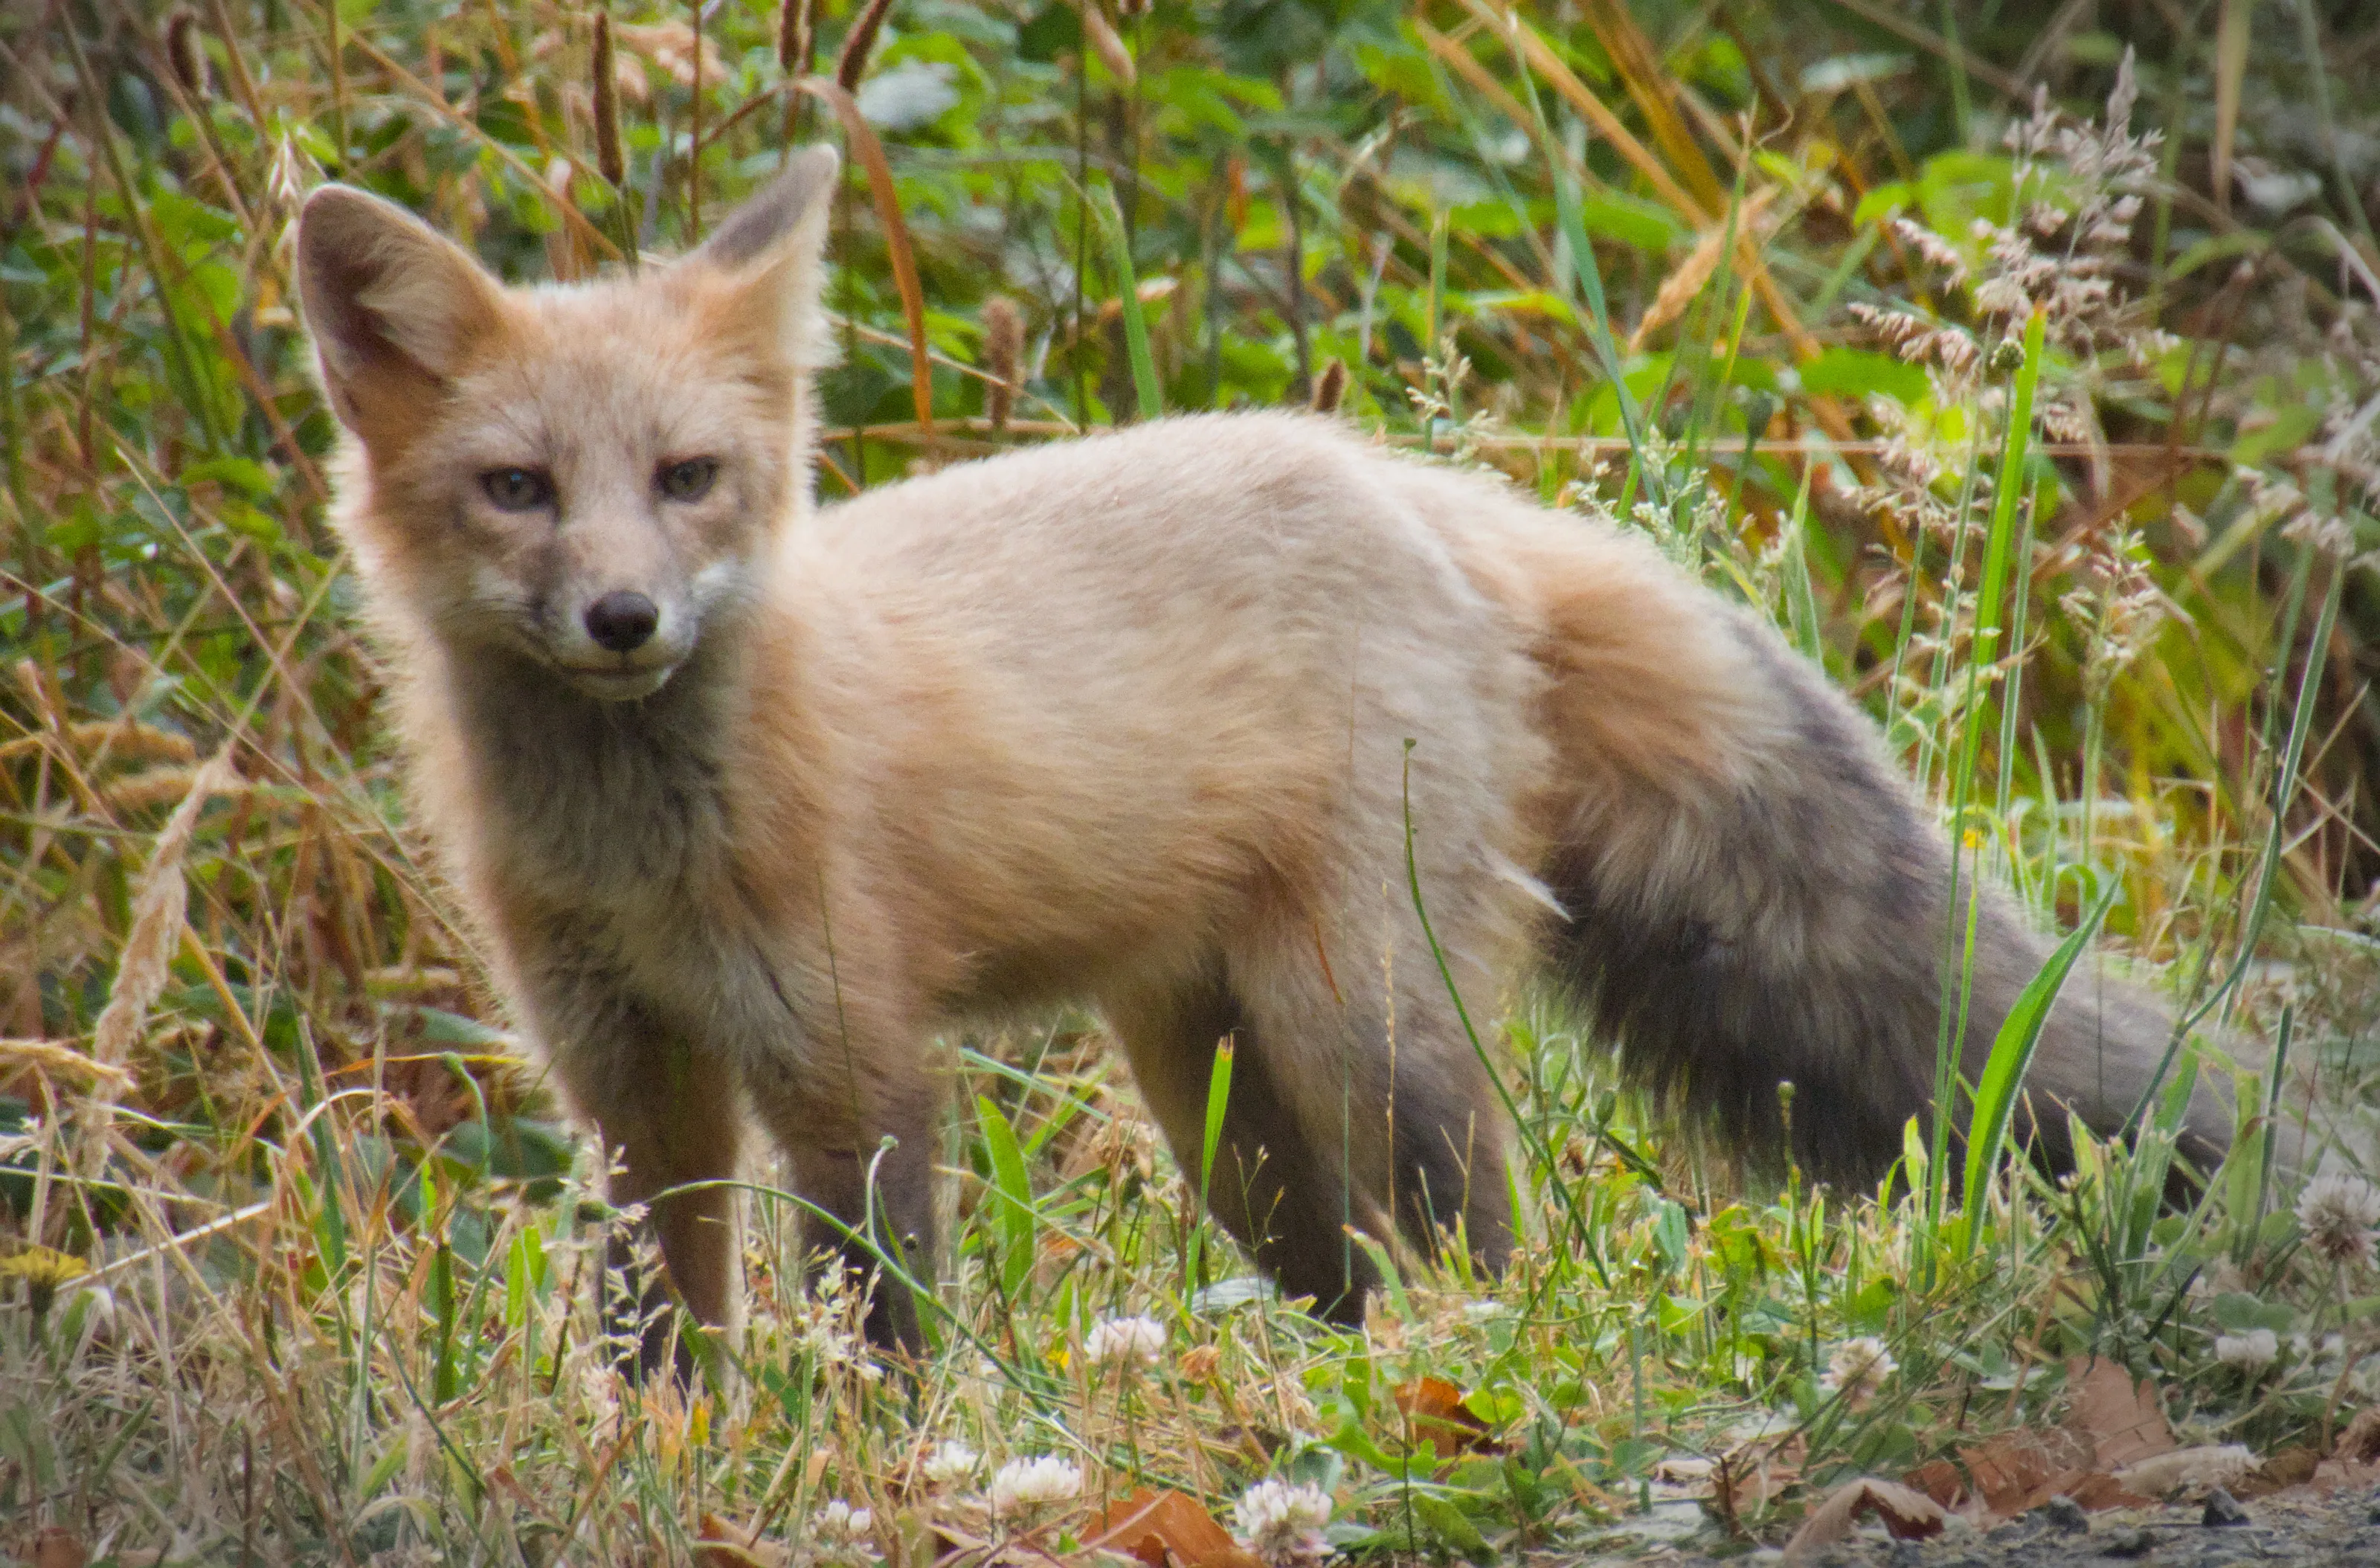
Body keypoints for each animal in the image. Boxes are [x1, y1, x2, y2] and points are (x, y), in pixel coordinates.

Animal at [295, 145, 2231, 1368]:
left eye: (687, 478)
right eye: (518, 489)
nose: (624, 617)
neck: (642, 852)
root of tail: (1420, 492)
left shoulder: (848, 1053)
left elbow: (886, 1321)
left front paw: (882, 1465)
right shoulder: (626, 1074)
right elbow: (657, 1333)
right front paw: (681, 1461)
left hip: (1356, 1029)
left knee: (1481, 1253)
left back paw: (1473, 1379)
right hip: (1223, 1100)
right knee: (1345, 1285)